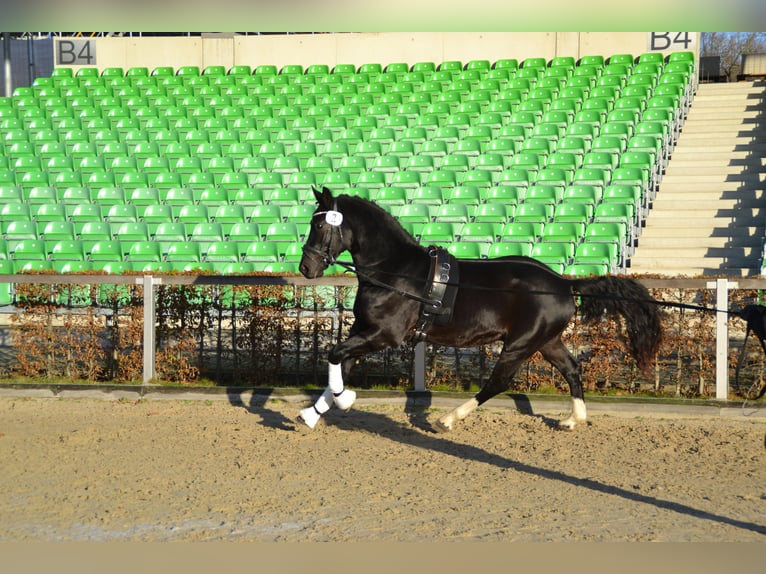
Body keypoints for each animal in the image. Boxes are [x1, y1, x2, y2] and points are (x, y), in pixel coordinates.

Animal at [296, 188, 664, 432]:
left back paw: (447, 419)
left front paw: (342, 400)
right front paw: (313, 413)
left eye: (320, 226)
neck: (395, 271)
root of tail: (561, 283)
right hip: (546, 341)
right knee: (572, 369)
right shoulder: (363, 329)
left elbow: (334, 354)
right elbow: (341, 362)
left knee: (498, 382)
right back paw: (574, 419)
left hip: (519, 345)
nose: (305, 267)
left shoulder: (385, 335)